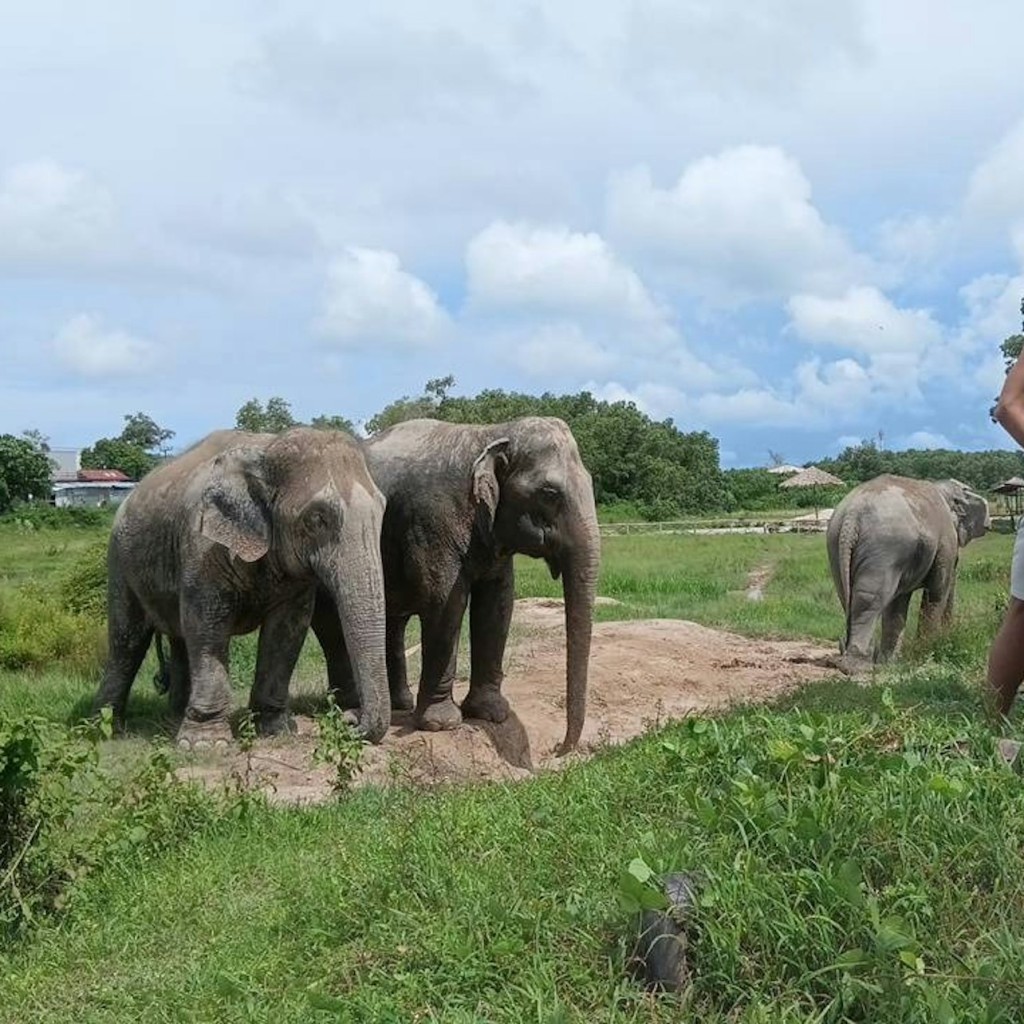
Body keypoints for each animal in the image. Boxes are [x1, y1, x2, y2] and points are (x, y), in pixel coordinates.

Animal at [92, 427, 390, 749]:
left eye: (383, 510)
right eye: (317, 519)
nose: (350, 718)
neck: (267, 448)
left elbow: (287, 630)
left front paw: (276, 729)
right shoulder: (202, 547)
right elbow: (206, 627)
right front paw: (204, 745)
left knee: (177, 640)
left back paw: (172, 719)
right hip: (119, 561)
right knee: (127, 641)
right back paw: (105, 730)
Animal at [309, 416, 601, 755]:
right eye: (550, 493)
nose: (558, 748)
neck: (490, 433)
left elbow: (498, 602)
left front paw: (491, 713)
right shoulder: (432, 522)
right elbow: (446, 602)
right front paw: (441, 724)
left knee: (392, 623)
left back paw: (398, 705)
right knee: (330, 624)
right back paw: (350, 708)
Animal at [826, 474, 989, 674]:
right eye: (957, 561)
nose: (950, 633)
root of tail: (852, 515)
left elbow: (898, 603)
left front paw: (889, 664)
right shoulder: (945, 542)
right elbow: (935, 593)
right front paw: (925, 654)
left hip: (836, 544)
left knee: (848, 595)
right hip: (885, 547)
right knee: (868, 600)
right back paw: (857, 666)